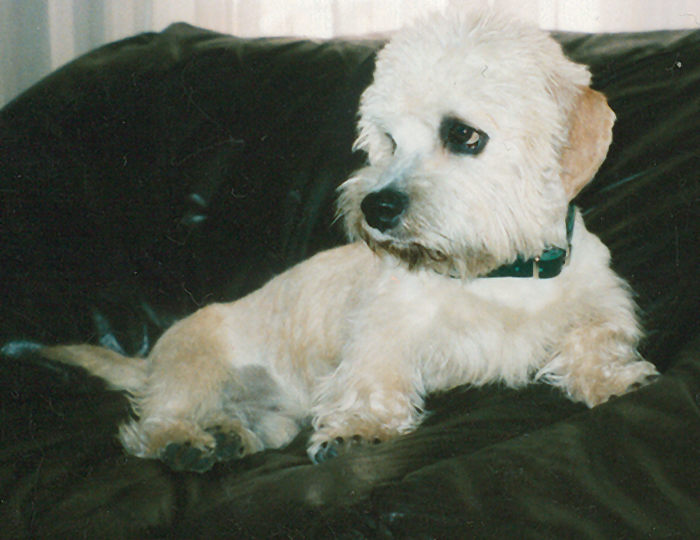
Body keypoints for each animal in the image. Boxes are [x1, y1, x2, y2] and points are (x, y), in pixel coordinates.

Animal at [42, 9, 656, 472]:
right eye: (388, 139)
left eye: (464, 134)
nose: (375, 209)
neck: (498, 274)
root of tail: (149, 361)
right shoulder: (384, 332)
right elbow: (372, 377)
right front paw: (359, 428)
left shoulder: (601, 308)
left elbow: (595, 341)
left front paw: (614, 379)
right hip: (195, 369)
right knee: (150, 426)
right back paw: (186, 442)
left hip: (271, 412)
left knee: (251, 424)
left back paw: (228, 436)